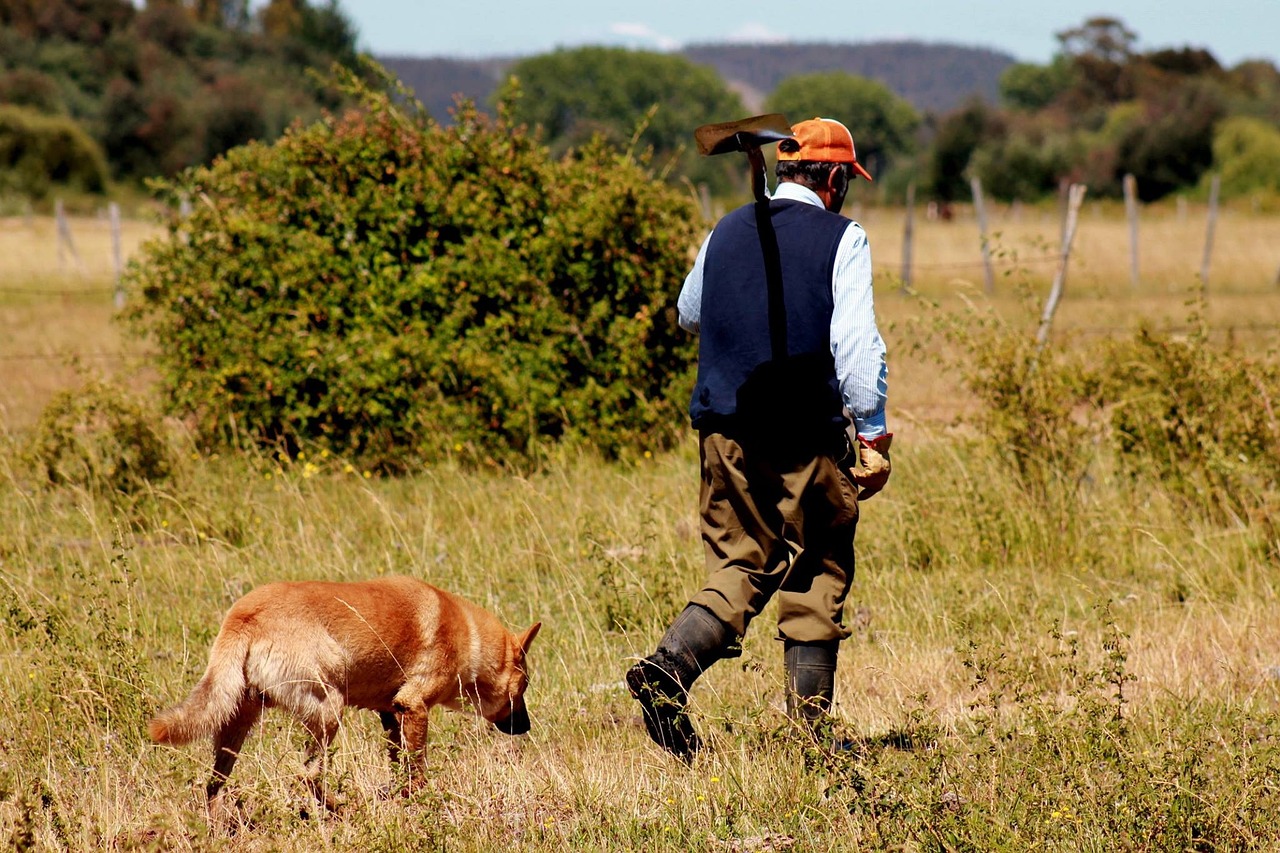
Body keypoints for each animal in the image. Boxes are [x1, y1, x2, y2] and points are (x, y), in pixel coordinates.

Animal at [148, 571, 540, 804]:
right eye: (524, 686)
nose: (525, 727)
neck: (467, 637)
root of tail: (244, 615)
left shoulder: (391, 711)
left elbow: (398, 764)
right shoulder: (414, 705)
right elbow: (417, 772)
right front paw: (417, 804)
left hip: (235, 724)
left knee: (214, 784)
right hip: (329, 710)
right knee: (307, 774)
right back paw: (338, 809)